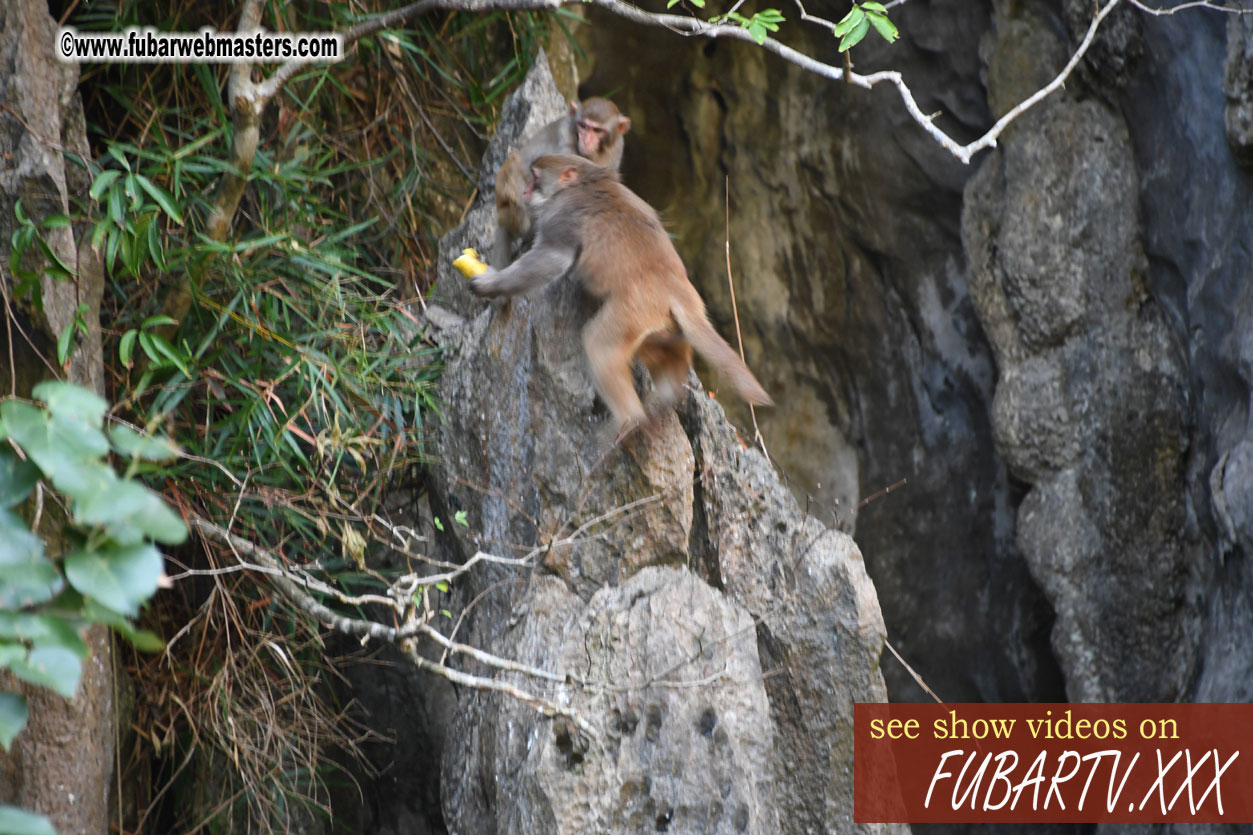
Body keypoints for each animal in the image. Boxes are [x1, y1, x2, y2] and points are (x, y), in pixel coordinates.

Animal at [471, 152, 766, 431]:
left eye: (535, 177)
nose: (525, 192)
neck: (584, 181)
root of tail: (679, 293)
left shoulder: (562, 216)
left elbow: (552, 259)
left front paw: (492, 283)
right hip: (666, 326)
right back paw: (666, 397)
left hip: (634, 311)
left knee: (599, 345)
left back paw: (629, 423)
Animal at [486, 97, 626, 267]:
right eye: (583, 126)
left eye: (597, 130)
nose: (586, 140)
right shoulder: (564, 143)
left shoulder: (617, 149)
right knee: (514, 166)